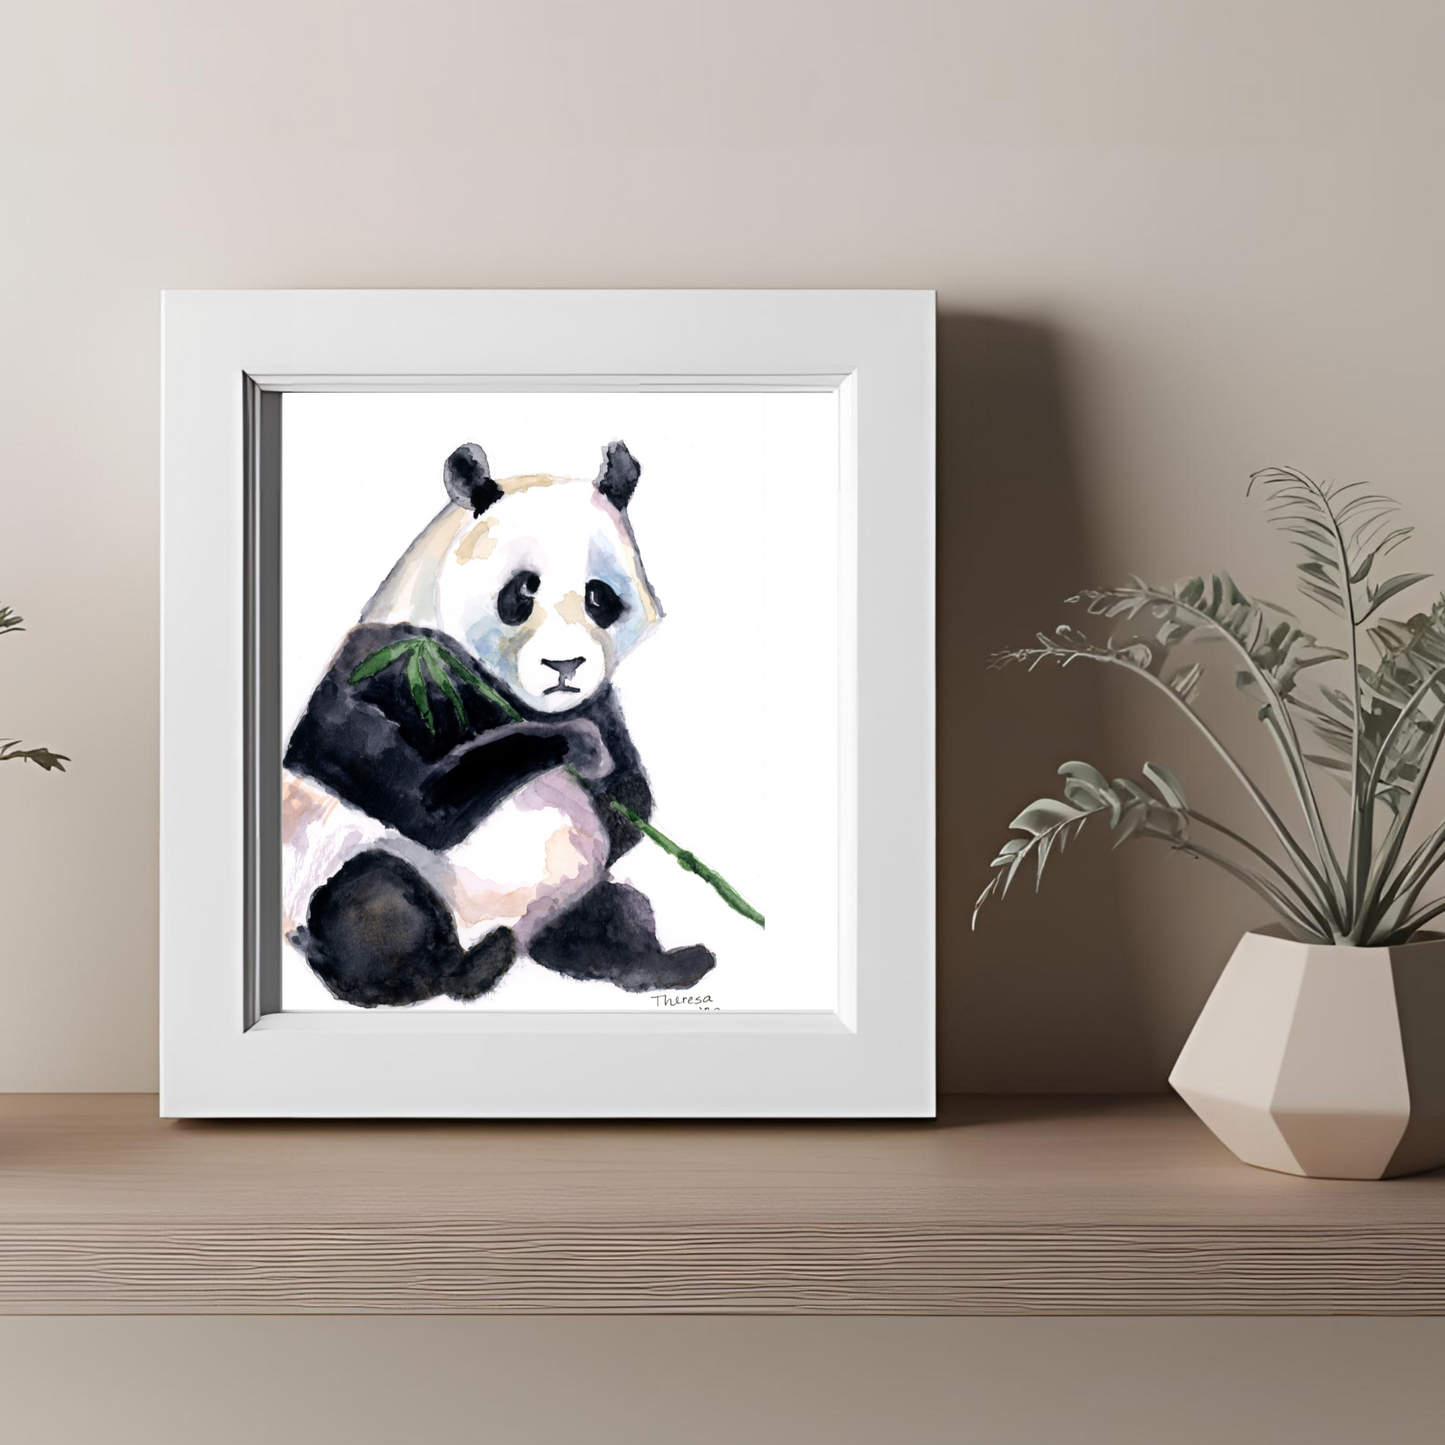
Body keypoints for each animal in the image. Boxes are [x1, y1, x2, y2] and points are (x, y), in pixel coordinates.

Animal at [281, 438, 716, 1007]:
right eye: (523, 592)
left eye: (599, 595)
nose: (565, 666)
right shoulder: (388, 659)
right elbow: (413, 796)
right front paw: (579, 747)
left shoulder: (598, 702)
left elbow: (631, 805)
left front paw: (604, 769)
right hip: (344, 871)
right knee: (377, 906)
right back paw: (472, 967)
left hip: (570, 897)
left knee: (615, 914)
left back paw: (668, 963)